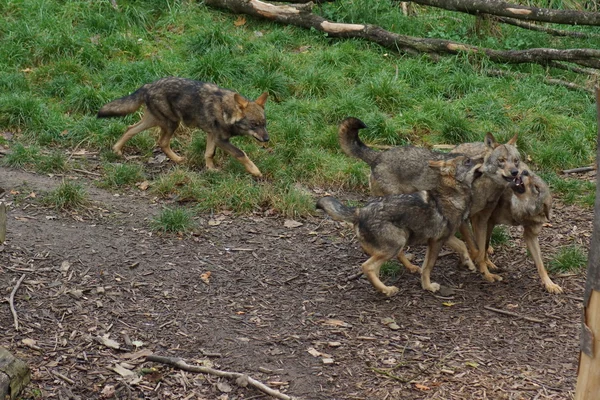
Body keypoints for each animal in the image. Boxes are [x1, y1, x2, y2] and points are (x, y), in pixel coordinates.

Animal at [98, 77, 270, 177]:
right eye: (254, 124)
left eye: (264, 123)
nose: (267, 139)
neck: (226, 110)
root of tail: (148, 85)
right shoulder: (221, 140)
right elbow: (241, 154)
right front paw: (255, 171)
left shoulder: (212, 136)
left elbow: (209, 154)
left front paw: (210, 169)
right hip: (171, 123)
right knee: (161, 142)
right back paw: (176, 159)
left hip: (156, 122)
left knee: (130, 129)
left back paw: (117, 150)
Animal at [316, 155, 480, 296]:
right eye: (468, 161)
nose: (483, 158)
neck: (452, 194)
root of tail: (360, 211)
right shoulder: (436, 242)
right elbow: (428, 267)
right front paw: (428, 286)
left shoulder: (445, 237)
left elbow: (462, 246)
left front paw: (469, 263)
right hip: (397, 243)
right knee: (367, 267)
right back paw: (387, 290)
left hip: (399, 241)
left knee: (378, 266)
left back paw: (386, 286)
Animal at [338, 117, 520, 282]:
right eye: (501, 161)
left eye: (516, 161)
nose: (515, 172)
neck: (485, 186)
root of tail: (378, 156)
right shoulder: (463, 220)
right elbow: (475, 248)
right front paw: (472, 263)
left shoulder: (481, 219)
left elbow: (482, 247)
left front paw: (487, 270)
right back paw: (408, 266)